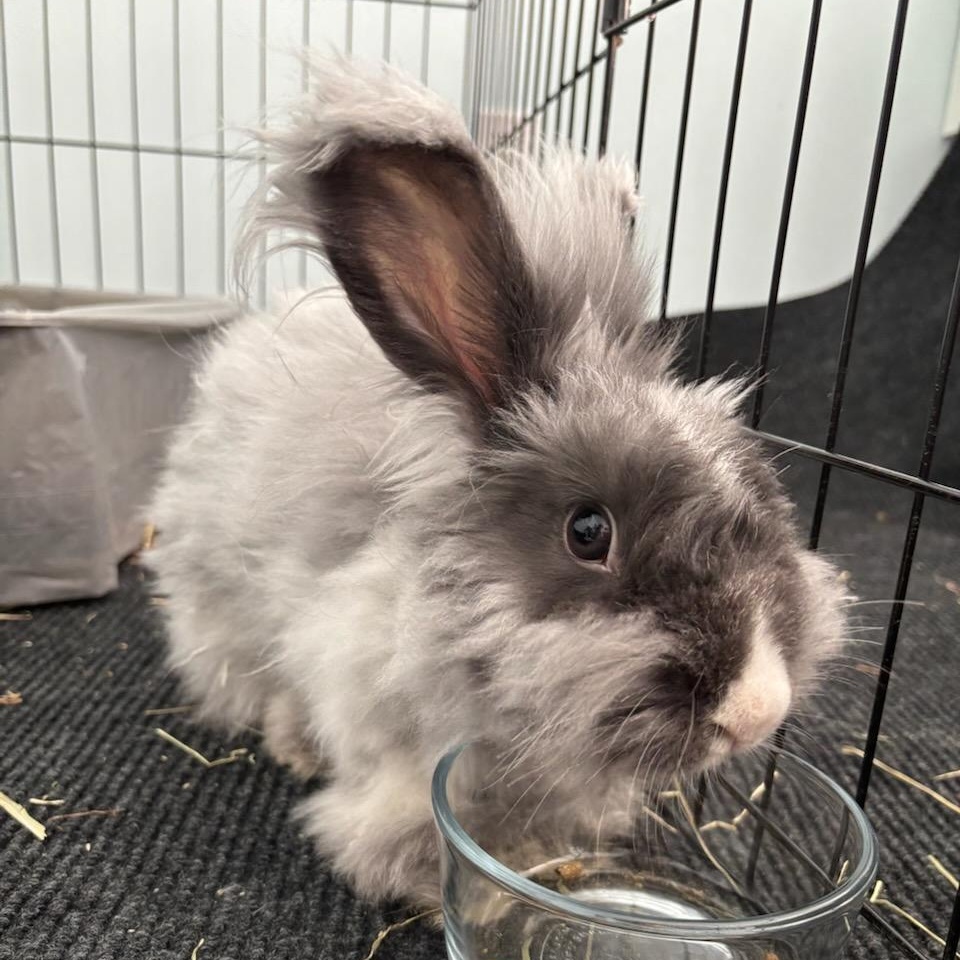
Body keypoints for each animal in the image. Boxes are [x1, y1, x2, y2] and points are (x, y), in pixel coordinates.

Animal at [147, 57, 847, 907]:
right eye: (588, 531)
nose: (759, 708)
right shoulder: (387, 729)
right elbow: (407, 817)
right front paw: (451, 886)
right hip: (224, 609)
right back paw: (291, 742)